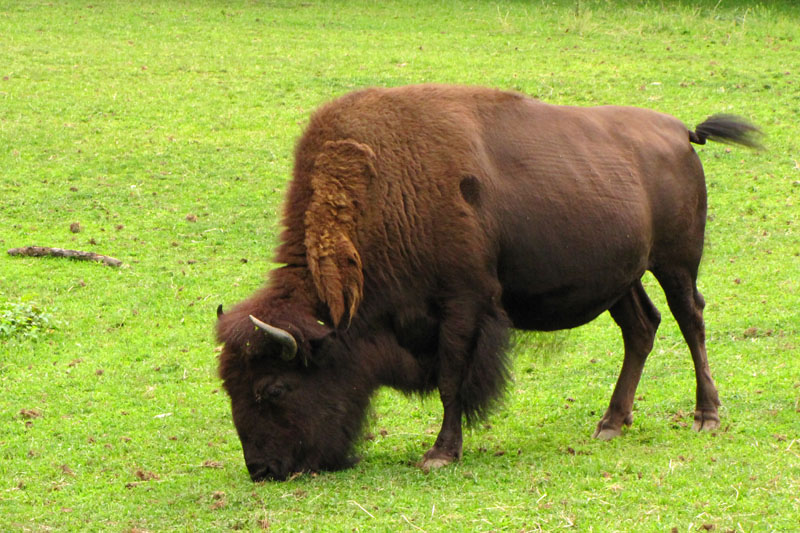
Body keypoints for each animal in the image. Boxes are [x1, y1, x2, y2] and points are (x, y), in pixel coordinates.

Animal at [214, 83, 764, 478]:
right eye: (229, 387)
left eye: (273, 388)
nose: (261, 470)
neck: (383, 192)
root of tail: (678, 132)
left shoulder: (462, 305)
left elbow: (452, 380)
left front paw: (440, 453)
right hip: (623, 277)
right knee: (641, 328)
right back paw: (610, 424)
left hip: (675, 263)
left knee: (690, 320)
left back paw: (707, 415)